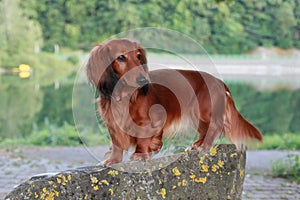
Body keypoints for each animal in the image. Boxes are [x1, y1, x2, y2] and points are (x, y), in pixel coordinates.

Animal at [85, 38, 262, 166]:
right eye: (121, 57)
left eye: (138, 56)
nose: (143, 80)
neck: (126, 95)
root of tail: (219, 81)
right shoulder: (112, 123)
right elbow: (116, 143)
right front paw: (113, 160)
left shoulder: (149, 120)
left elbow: (143, 138)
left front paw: (140, 155)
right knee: (204, 130)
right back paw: (197, 145)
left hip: (203, 111)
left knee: (214, 127)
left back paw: (204, 146)